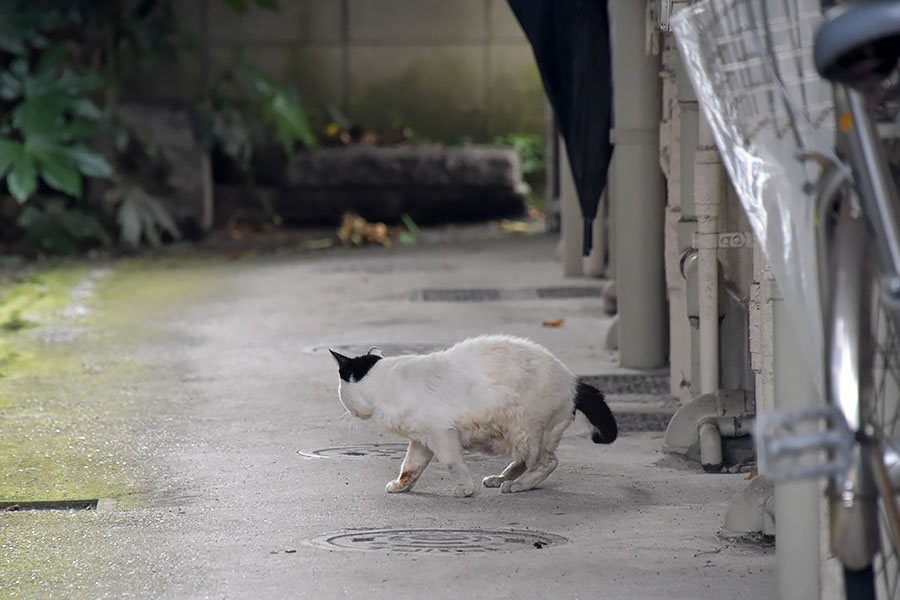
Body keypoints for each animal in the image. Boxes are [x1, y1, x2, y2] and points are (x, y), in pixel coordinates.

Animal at [330, 338, 620, 496]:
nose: (347, 411)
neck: (385, 383)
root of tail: (574, 381)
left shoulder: (442, 435)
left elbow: (454, 465)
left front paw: (465, 490)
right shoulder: (422, 439)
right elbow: (410, 467)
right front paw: (402, 487)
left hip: (524, 432)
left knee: (547, 463)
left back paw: (518, 485)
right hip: (520, 437)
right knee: (526, 461)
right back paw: (502, 478)